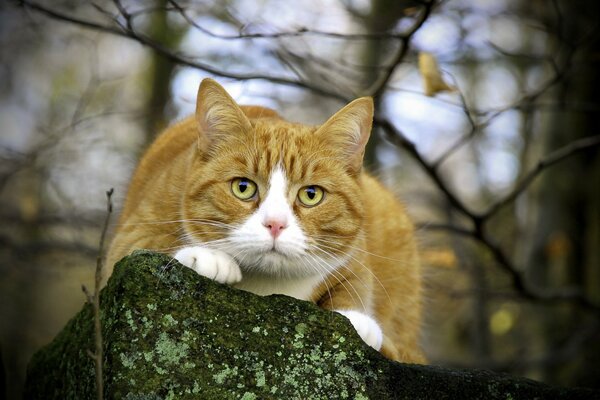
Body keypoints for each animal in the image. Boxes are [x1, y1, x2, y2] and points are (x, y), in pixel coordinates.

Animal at [105, 78, 424, 362]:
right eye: (243, 187)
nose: (275, 224)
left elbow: (357, 283)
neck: (266, 285)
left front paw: (357, 320)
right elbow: (152, 245)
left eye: (311, 194)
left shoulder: (356, 255)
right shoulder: (131, 235)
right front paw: (209, 257)